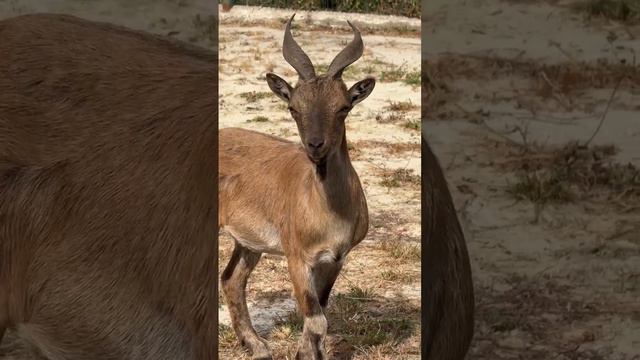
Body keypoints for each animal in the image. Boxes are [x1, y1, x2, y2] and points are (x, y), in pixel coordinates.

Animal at [219, 14, 376, 360]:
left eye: (343, 107)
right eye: (293, 107)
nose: (315, 146)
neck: (329, 211)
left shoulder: (334, 259)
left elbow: (318, 316)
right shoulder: (296, 257)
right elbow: (315, 319)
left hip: (248, 242)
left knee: (231, 279)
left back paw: (257, 346)